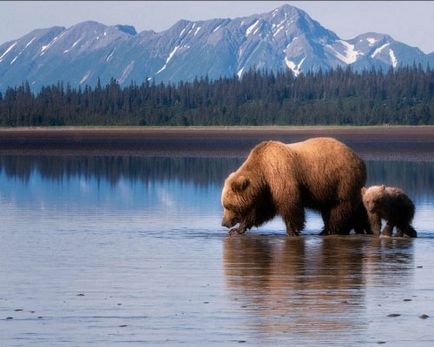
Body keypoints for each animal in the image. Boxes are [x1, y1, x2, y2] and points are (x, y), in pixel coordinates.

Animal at [224, 138, 370, 237]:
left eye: (229, 206)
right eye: (225, 205)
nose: (224, 223)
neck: (262, 172)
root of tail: (360, 159)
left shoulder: (280, 175)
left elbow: (290, 203)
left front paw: (292, 230)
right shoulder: (267, 190)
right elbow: (261, 211)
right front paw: (237, 230)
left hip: (341, 180)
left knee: (339, 207)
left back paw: (329, 230)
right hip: (330, 187)